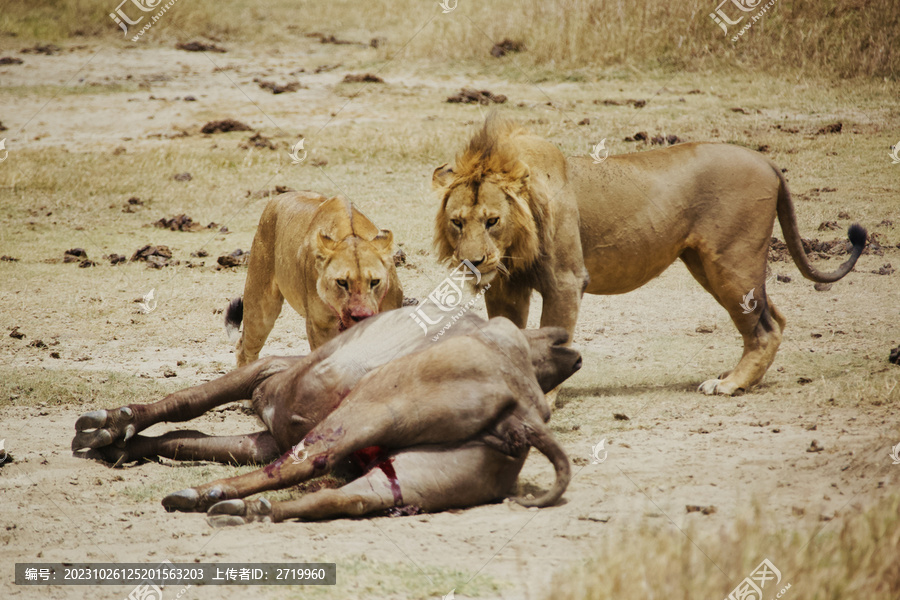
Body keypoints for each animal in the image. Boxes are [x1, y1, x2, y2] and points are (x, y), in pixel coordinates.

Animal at [229, 191, 400, 366]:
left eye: (374, 282)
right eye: (342, 282)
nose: (361, 317)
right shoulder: (320, 327)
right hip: (260, 308)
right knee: (244, 348)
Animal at [432, 119, 868, 396]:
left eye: (492, 220)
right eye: (457, 222)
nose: (473, 262)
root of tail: (768, 161)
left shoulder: (566, 280)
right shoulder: (505, 287)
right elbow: (507, 336)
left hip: (731, 263)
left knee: (764, 328)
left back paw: (730, 385)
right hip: (707, 265)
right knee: (774, 318)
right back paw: (741, 379)